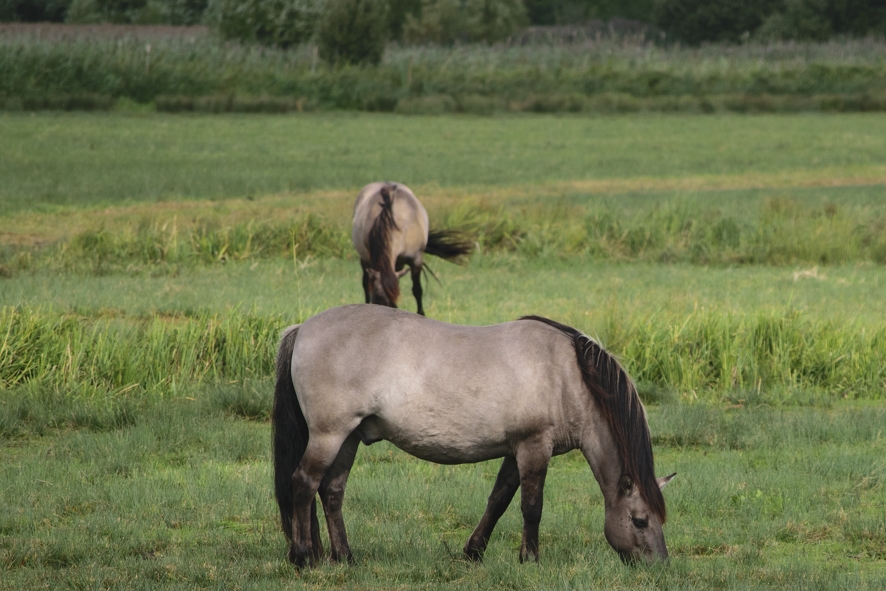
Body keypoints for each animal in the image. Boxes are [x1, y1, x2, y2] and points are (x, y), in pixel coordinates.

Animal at [272, 305, 675, 567]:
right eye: (640, 520)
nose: (659, 566)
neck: (565, 375)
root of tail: (303, 328)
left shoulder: (516, 450)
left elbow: (498, 500)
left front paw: (474, 552)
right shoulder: (534, 447)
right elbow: (531, 506)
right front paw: (531, 559)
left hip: (349, 438)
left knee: (331, 491)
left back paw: (344, 557)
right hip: (329, 435)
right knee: (304, 483)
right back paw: (303, 557)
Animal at [352, 182, 472, 316]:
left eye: (391, 303)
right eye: (376, 300)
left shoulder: (416, 260)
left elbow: (417, 290)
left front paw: (421, 314)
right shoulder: (368, 259)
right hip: (364, 260)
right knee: (365, 284)